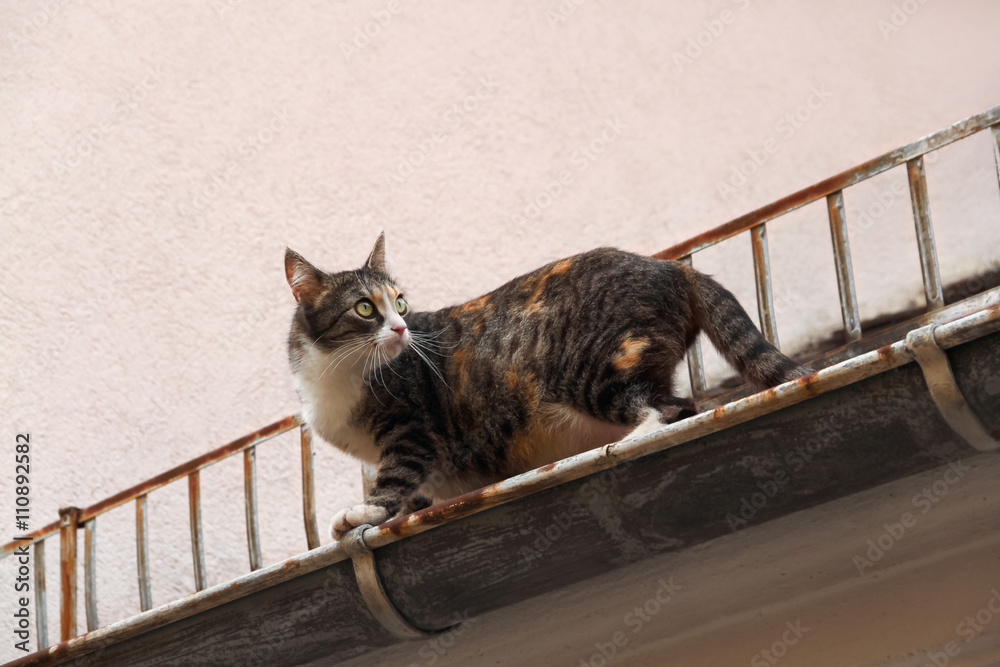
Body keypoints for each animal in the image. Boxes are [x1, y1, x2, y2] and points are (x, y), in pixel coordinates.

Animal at [282, 232, 804, 540]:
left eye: (401, 303)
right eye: (364, 308)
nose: (401, 329)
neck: (333, 371)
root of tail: (671, 266)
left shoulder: (411, 431)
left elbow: (394, 478)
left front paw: (364, 513)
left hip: (592, 370)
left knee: (671, 409)